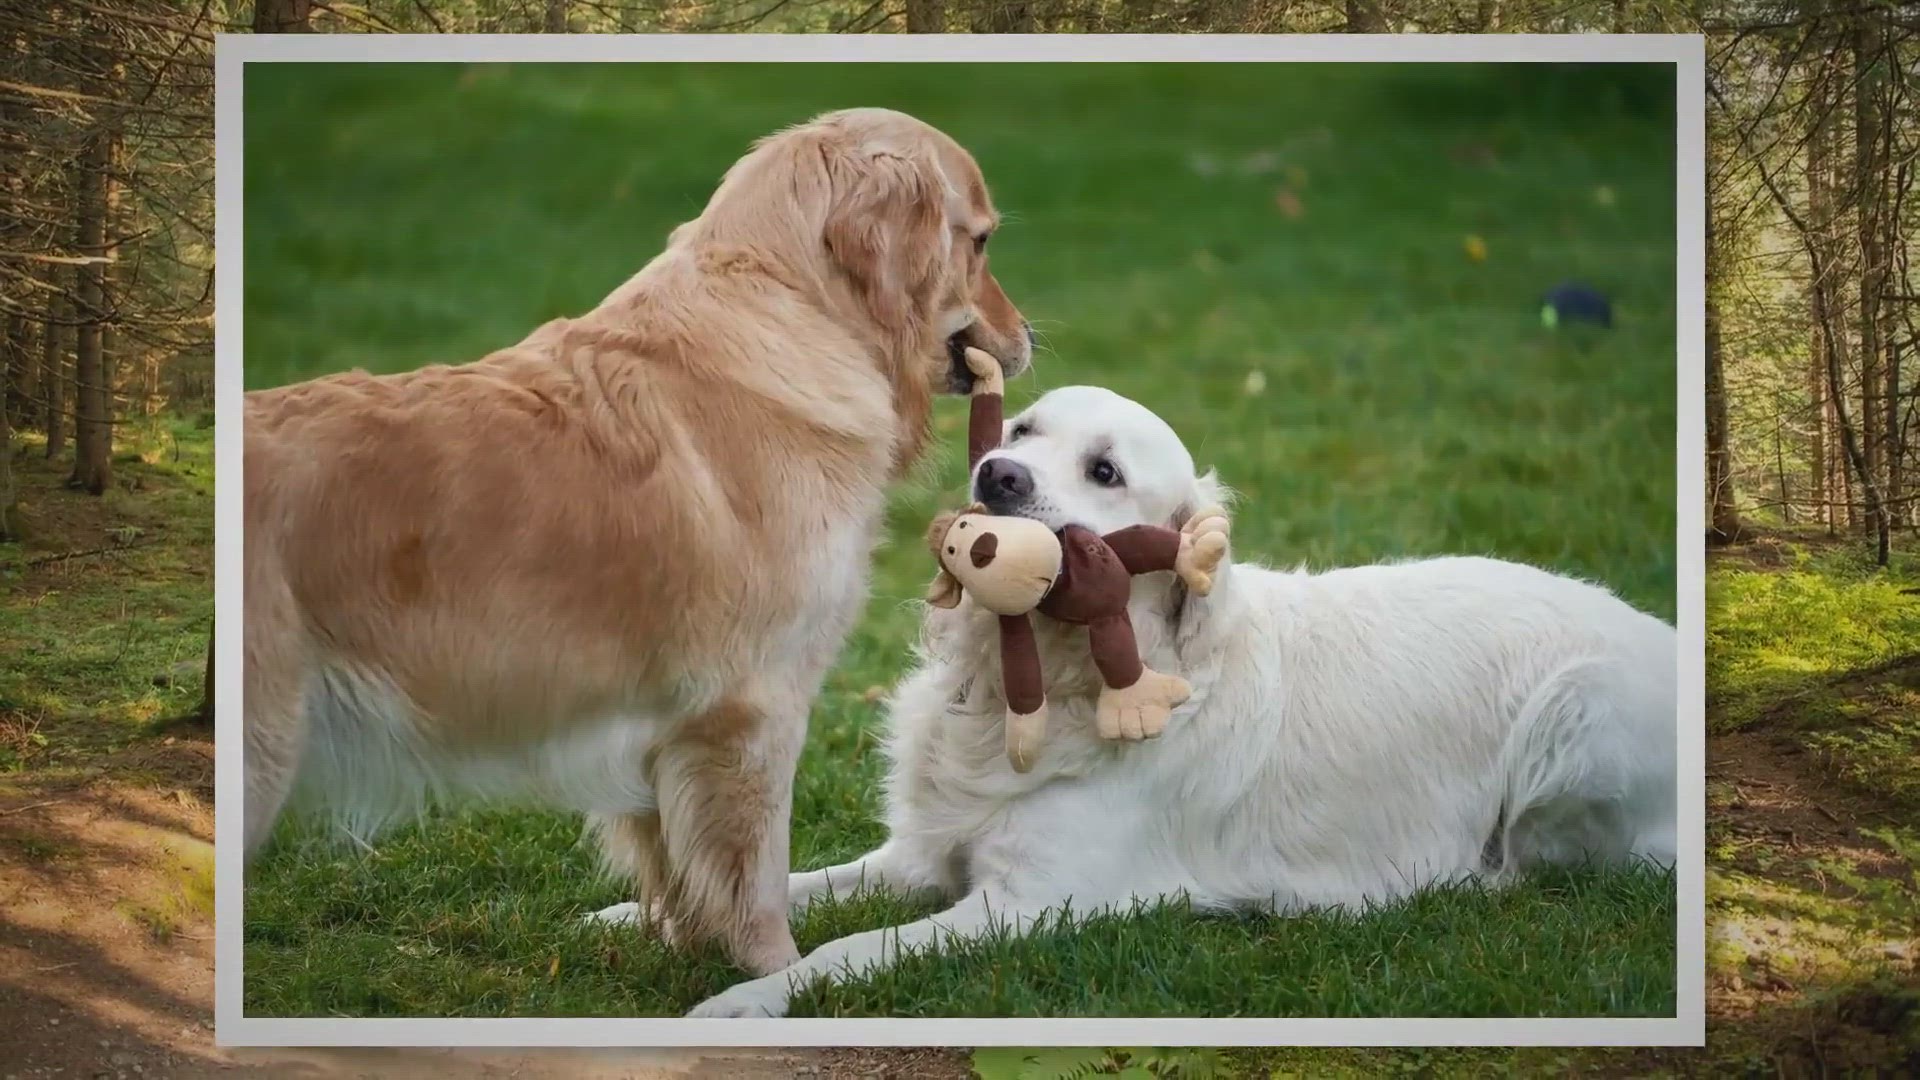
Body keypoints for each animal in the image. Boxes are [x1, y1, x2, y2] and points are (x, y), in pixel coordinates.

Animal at [656, 382, 1666, 1014]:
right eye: (1022, 432)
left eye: (1105, 473)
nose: (997, 478)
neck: (1043, 681)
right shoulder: (919, 855)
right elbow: (793, 886)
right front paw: (646, 919)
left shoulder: (1031, 902)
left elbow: (850, 949)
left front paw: (747, 999)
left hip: (1575, 714)